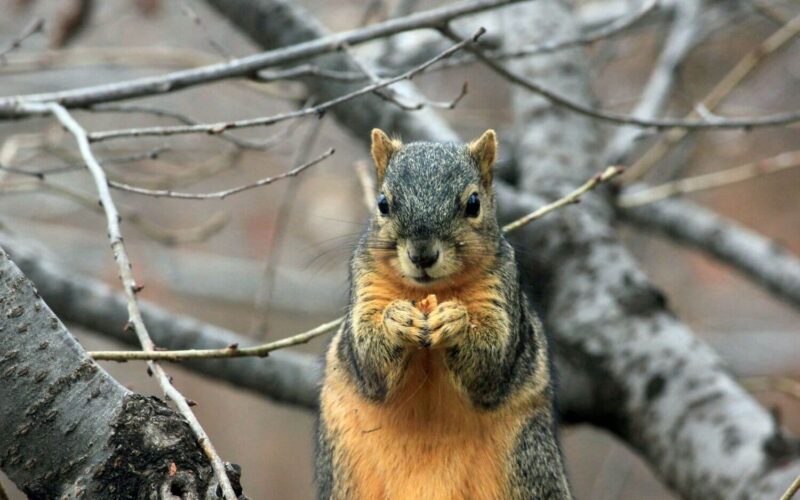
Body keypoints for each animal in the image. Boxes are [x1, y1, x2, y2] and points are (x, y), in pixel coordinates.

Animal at [315, 129, 572, 499]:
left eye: (474, 203)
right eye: (383, 204)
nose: (422, 255)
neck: (426, 293)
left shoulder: (500, 291)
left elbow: (492, 361)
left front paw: (455, 323)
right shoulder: (365, 286)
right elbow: (368, 361)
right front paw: (396, 321)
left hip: (528, 461)